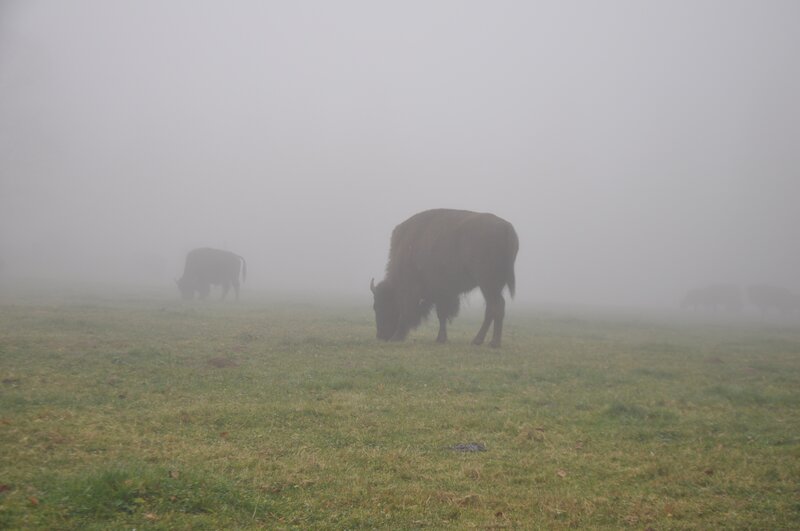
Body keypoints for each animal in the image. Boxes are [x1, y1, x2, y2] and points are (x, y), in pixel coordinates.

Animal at [371, 209, 519, 347]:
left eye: (380, 306)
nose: (380, 335)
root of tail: (507, 228)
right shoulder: (441, 293)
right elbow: (442, 315)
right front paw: (441, 339)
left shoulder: (413, 290)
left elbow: (407, 311)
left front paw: (396, 337)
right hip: (493, 286)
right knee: (492, 308)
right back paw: (481, 341)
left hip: (488, 284)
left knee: (496, 306)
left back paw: (490, 342)